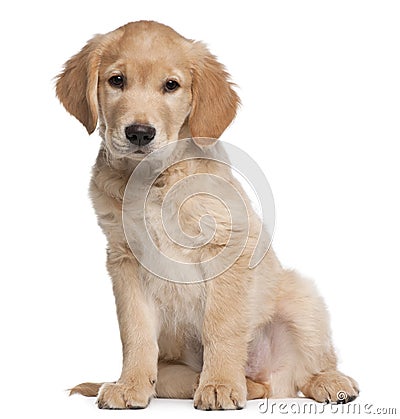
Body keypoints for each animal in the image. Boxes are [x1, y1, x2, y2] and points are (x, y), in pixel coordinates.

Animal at [56, 20, 360, 410]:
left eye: (171, 85)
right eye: (117, 80)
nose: (139, 133)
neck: (154, 180)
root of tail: (272, 376)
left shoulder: (227, 246)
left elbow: (222, 325)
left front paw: (220, 384)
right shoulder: (124, 260)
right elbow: (135, 331)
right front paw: (130, 386)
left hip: (302, 299)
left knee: (309, 369)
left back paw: (327, 382)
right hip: (172, 368)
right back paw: (243, 385)